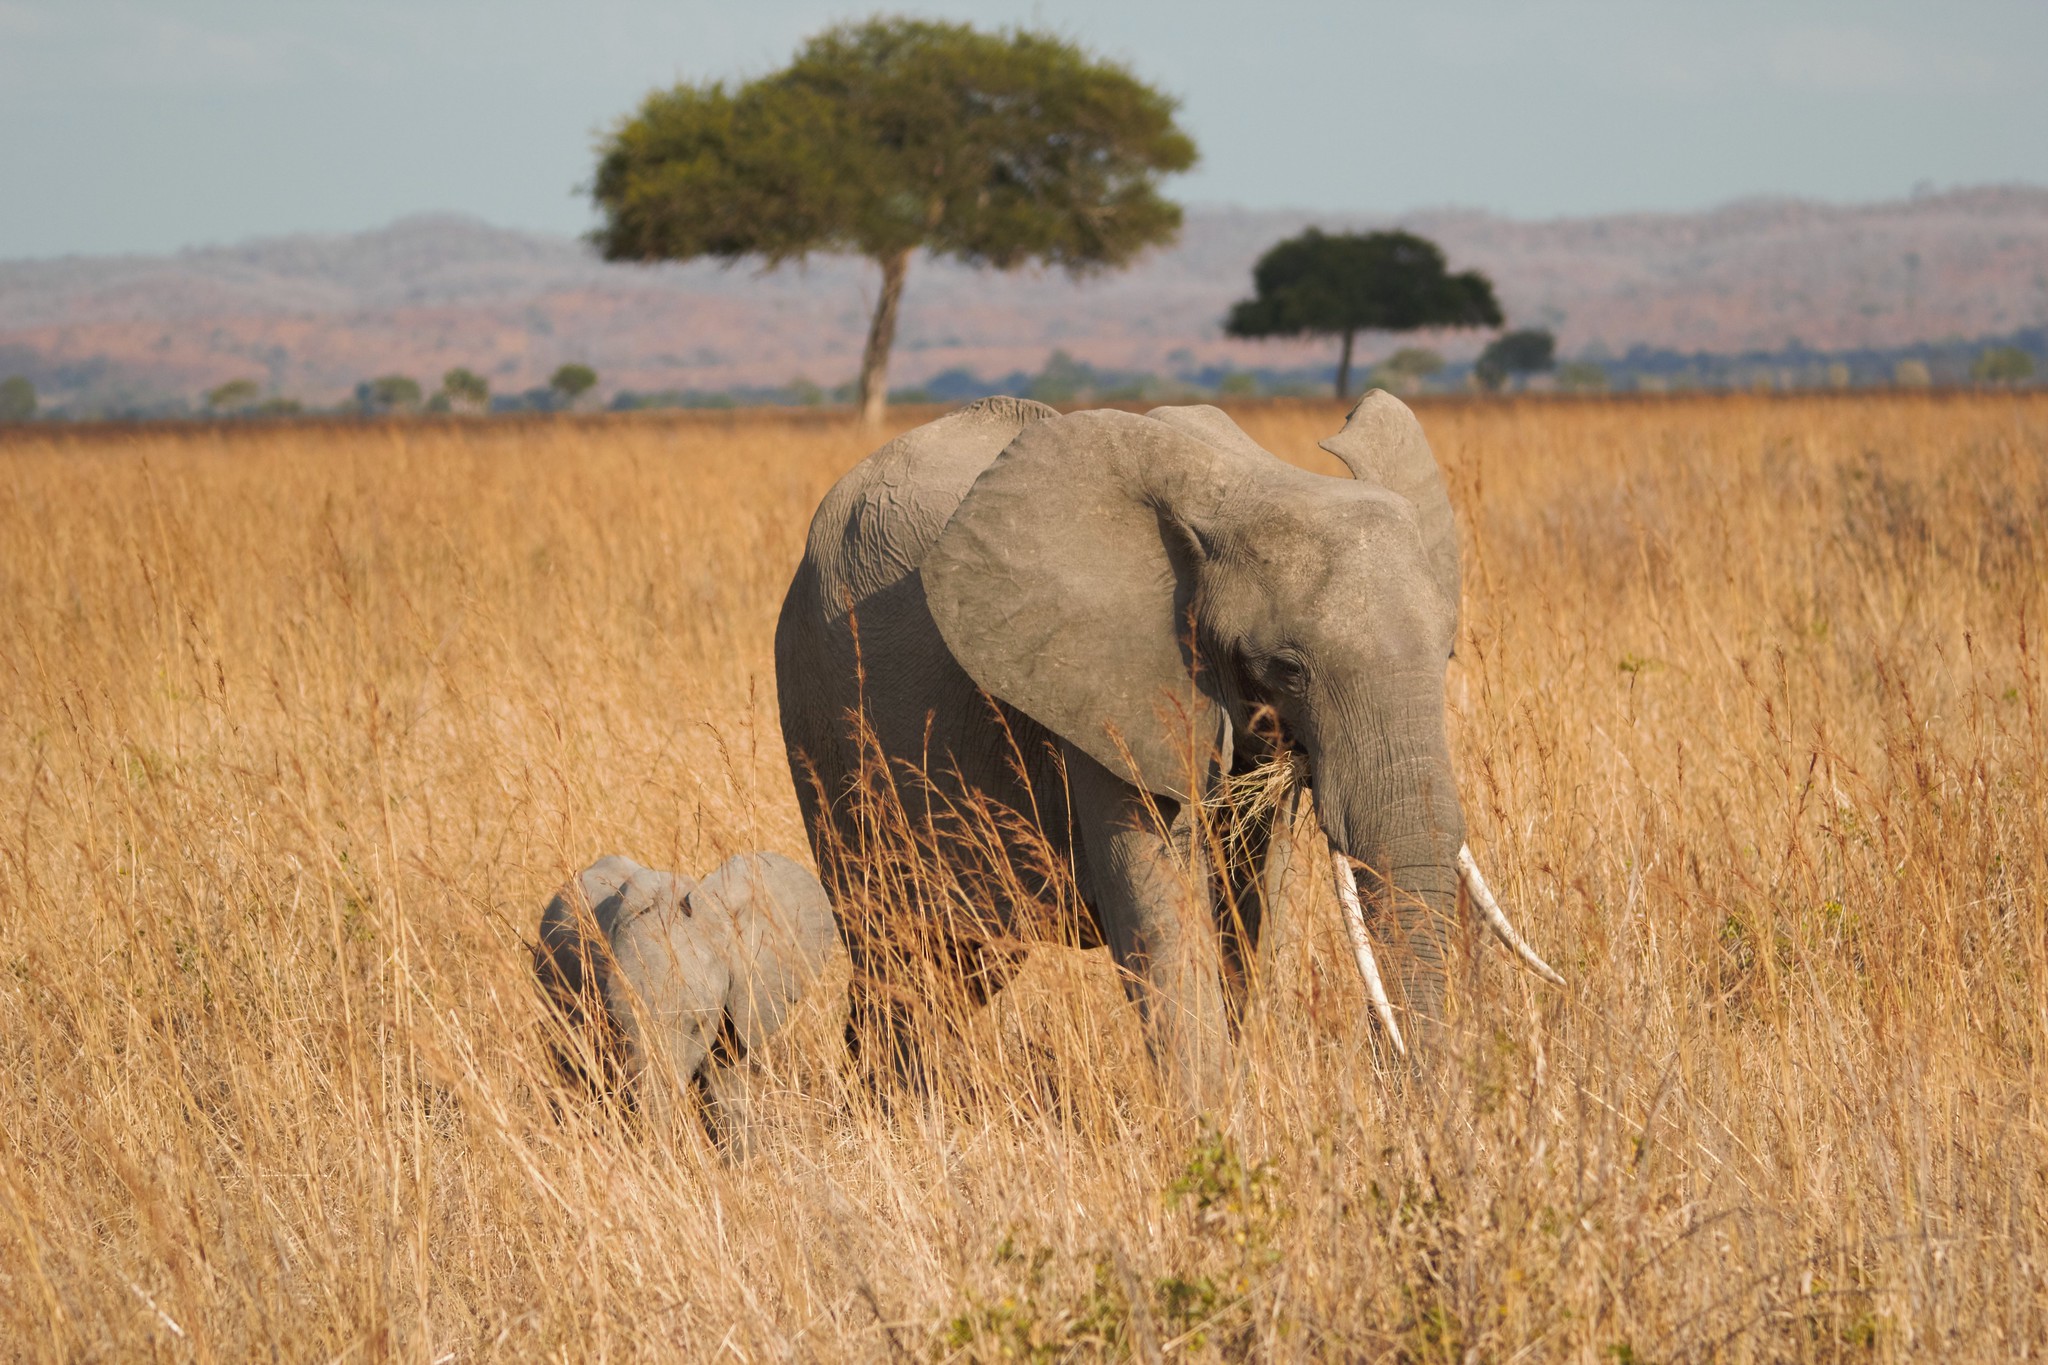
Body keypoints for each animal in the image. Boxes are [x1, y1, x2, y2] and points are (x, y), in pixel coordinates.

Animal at [774, 392, 1556, 1096]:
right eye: (1289, 667)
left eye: (1447, 652)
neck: (1249, 487)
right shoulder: (1104, 684)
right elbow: (1161, 913)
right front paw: (1216, 1124)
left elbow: (1245, 900)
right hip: (821, 714)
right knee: (894, 939)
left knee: (964, 958)